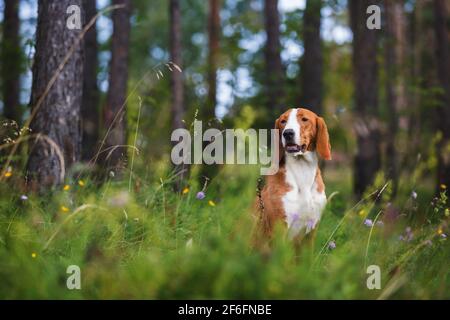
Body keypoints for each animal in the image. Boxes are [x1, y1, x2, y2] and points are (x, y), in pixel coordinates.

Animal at [256, 108, 330, 242]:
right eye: (283, 121)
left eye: (304, 119)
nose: (288, 133)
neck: (302, 169)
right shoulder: (279, 227)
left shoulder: (311, 230)